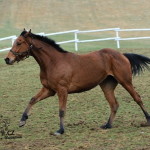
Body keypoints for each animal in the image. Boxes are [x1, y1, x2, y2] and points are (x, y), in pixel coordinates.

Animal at [4, 29, 150, 135]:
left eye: (19, 42)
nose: (7, 59)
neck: (53, 62)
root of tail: (122, 55)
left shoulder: (62, 90)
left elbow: (61, 110)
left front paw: (60, 130)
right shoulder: (49, 90)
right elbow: (32, 99)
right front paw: (22, 121)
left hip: (126, 81)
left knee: (137, 98)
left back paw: (147, 120)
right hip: (107, 86)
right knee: (114, 104)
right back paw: (107, 125)